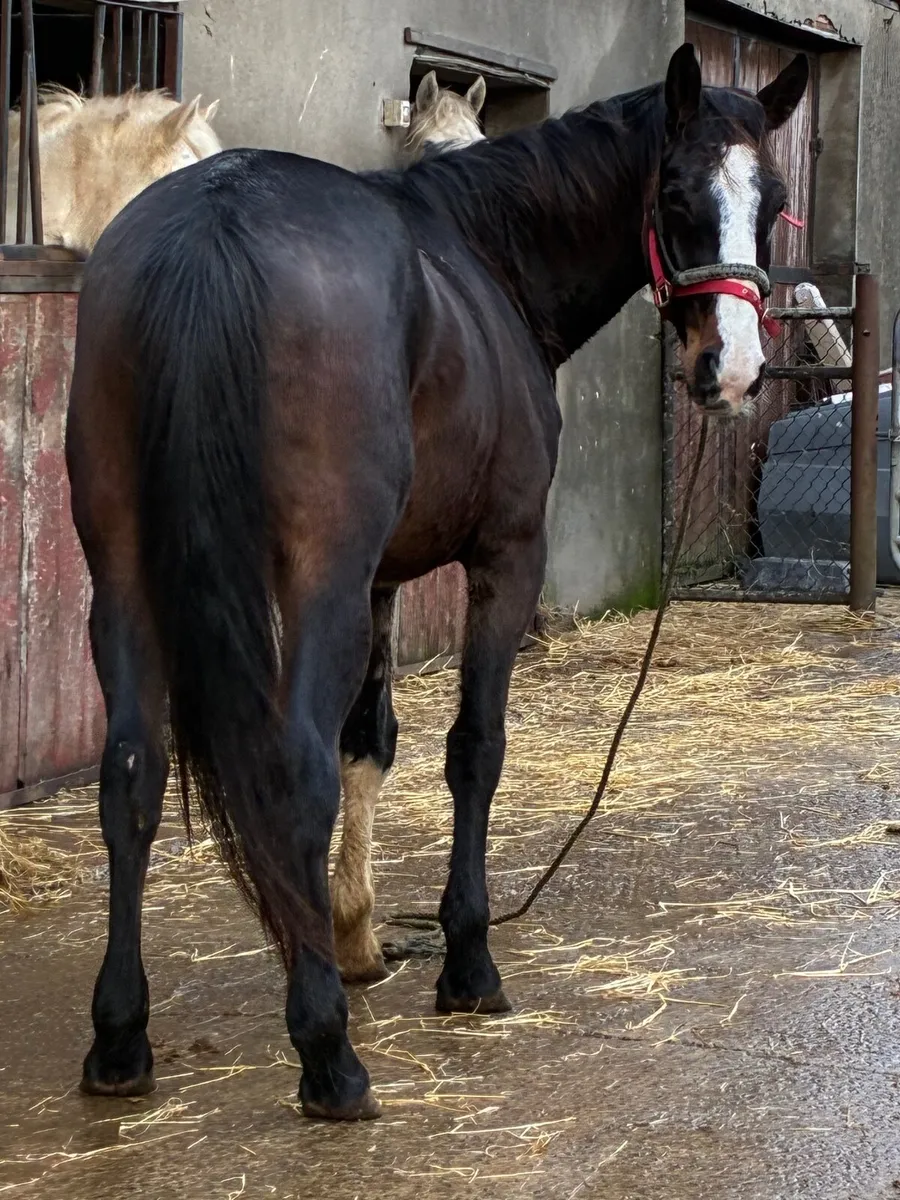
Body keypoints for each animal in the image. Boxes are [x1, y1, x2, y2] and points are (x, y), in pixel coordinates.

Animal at [65, 44, 808, 1120]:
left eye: (775, 199)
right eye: (675, 197)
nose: (736, 371)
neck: (484, 257)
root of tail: (213, 222)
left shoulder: (382, 580)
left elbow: (370, 741)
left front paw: (358, 938)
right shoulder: (504, 557)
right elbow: (473, 749)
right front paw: (466, 963)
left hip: (121, 573)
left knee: (131, 775)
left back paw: (122, 1042)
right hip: (315, 581)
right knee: (291, 775)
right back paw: (329, 1058)